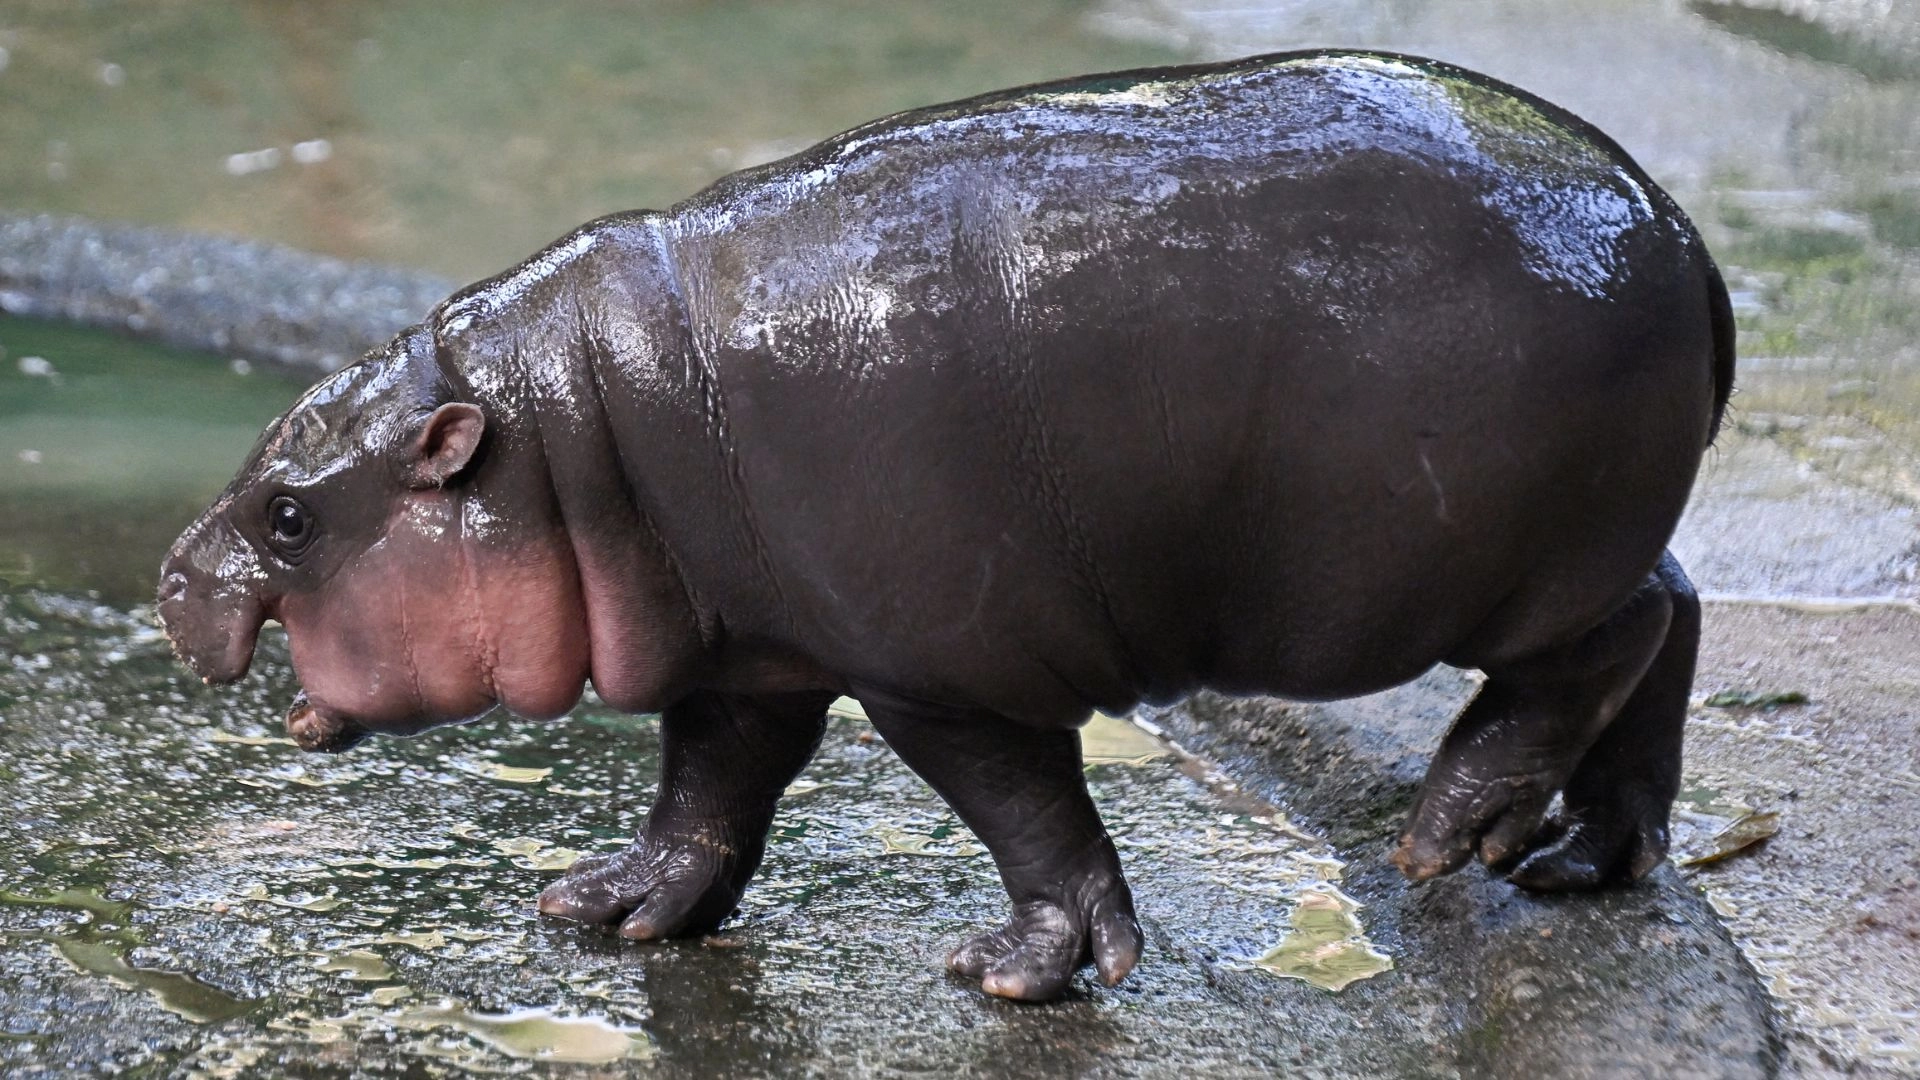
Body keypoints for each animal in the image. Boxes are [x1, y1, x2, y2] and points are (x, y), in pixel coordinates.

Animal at [158, 50, 1732, 1002]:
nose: (174, 574)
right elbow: (708, 786)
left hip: (1489, 570)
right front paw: (609, 907)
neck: (565, 438)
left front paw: (1022, 973)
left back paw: (1452, 832)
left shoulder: (941, 669)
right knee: (1678, 614)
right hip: (1583, 538)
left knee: (1611, 642)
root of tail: (1679, 228)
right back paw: (1584, 861)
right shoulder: (752, 649)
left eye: (290, 516)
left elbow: (1026, 812)